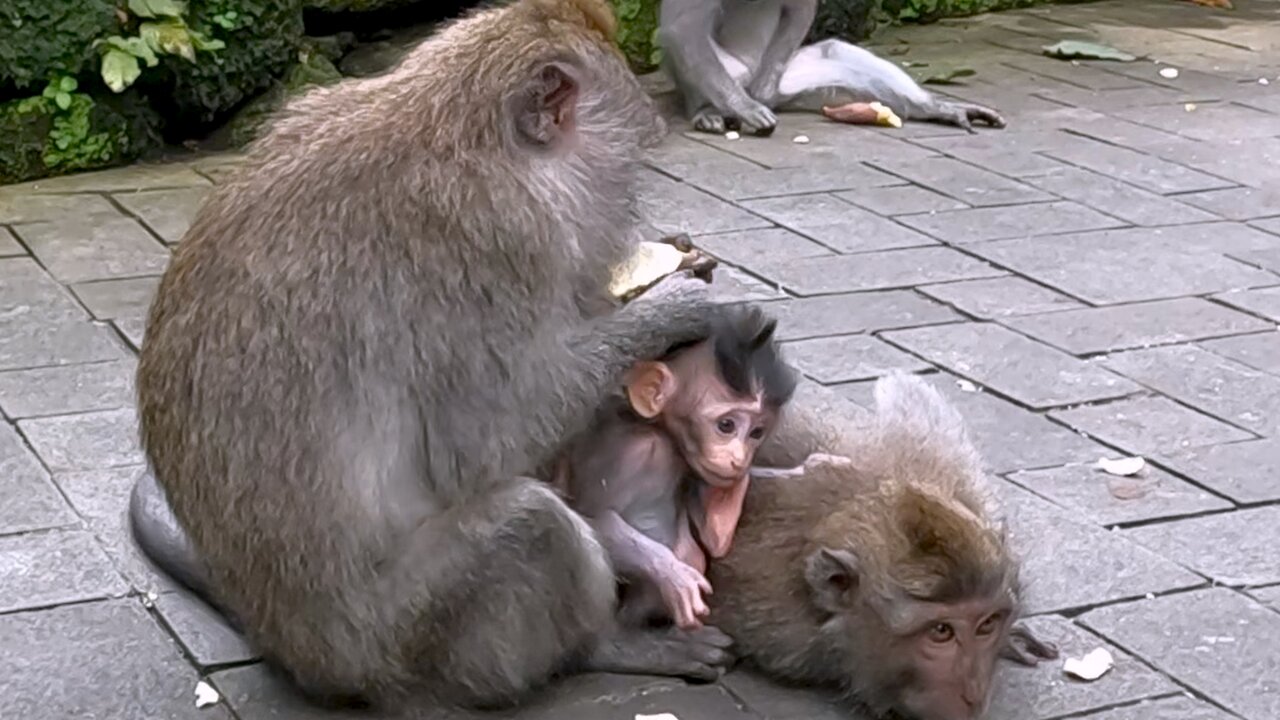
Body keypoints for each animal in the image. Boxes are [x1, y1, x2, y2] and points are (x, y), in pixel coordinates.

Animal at [135, 0, 737, 707]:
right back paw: (604, 646)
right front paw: (671, 306)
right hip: (396, 633)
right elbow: (481, 441)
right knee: (530, 525)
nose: (631, 218)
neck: (466, 136)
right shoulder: (492, 246)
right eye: (631, 170)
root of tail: (287, 644)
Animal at [555, 302, 793, 627]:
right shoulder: (639, 453)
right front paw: (672, 574)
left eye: (757, 432)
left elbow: (715, 540)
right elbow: (593, 517)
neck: (656, 429)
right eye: (726, 425)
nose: (739, 457)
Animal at [660, 0, 1008, 134]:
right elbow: (680, 27)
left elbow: (801, 7)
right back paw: (707, 110)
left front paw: (762, 92)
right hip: (727, 73)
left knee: (836, 53)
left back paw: (937, 109)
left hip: (794, 78)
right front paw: (746, 106)